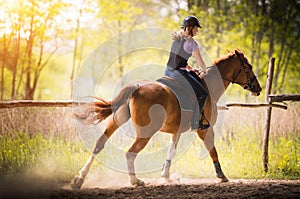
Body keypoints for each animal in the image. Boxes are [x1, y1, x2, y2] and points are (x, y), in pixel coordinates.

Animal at [71, 49, 262, 190]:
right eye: (249, 66)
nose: (258, 88)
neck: (208, 87)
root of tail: (136, 87)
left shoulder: (176, 131)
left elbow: (171, 151)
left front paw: (166, 176)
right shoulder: (205, 129)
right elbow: (212, 150)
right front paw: (221, 176)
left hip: (117, 121)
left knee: (99, 144)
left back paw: (79, 179)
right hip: (146, 133)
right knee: (130, 153)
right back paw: (135, 181)